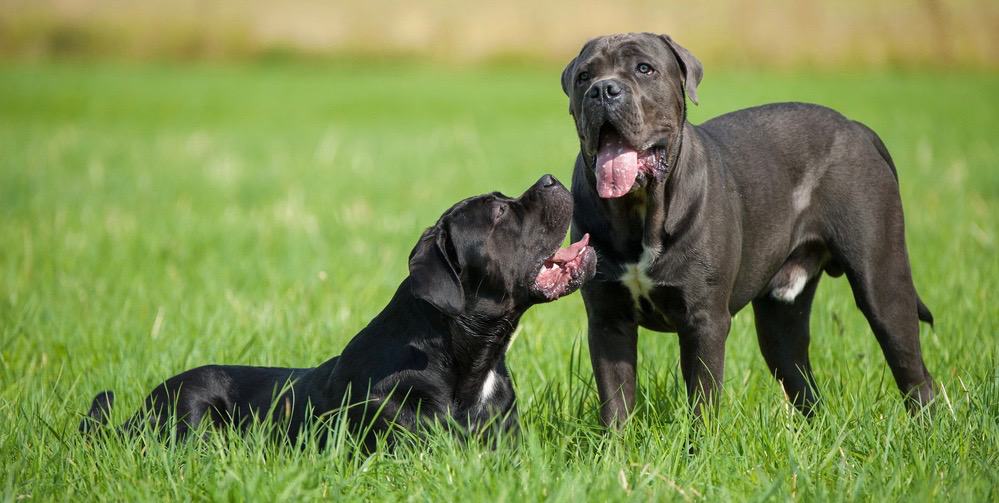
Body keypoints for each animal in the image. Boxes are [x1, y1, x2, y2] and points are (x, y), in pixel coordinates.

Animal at [564, 32, 936, 426]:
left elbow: (703, 400)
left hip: (883, 285)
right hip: (780, 322)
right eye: (584, 76)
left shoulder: (704, 321)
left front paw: (700, 442)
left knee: (913, 373)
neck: (639, 212)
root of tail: (857, 128)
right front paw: (615, 442)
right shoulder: (608, 321)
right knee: (803, 383)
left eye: (644, 69)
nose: (603, 90)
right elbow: (616, 401)